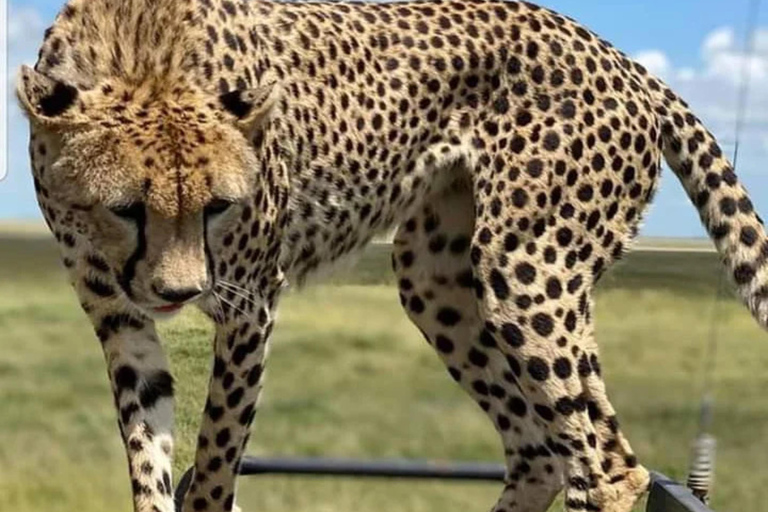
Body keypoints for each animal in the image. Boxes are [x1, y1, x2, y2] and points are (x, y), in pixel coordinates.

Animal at [16, 0, 768, 510]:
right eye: (126, 208)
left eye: (219, 205)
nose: (179, 293)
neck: (141, 50)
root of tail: (625, 61)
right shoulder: (120, 319)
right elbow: (149, 448)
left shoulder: (251, 303)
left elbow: (219, 452)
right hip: (439, 281)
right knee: (541, 451)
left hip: (527, 274)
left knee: (608, 467)